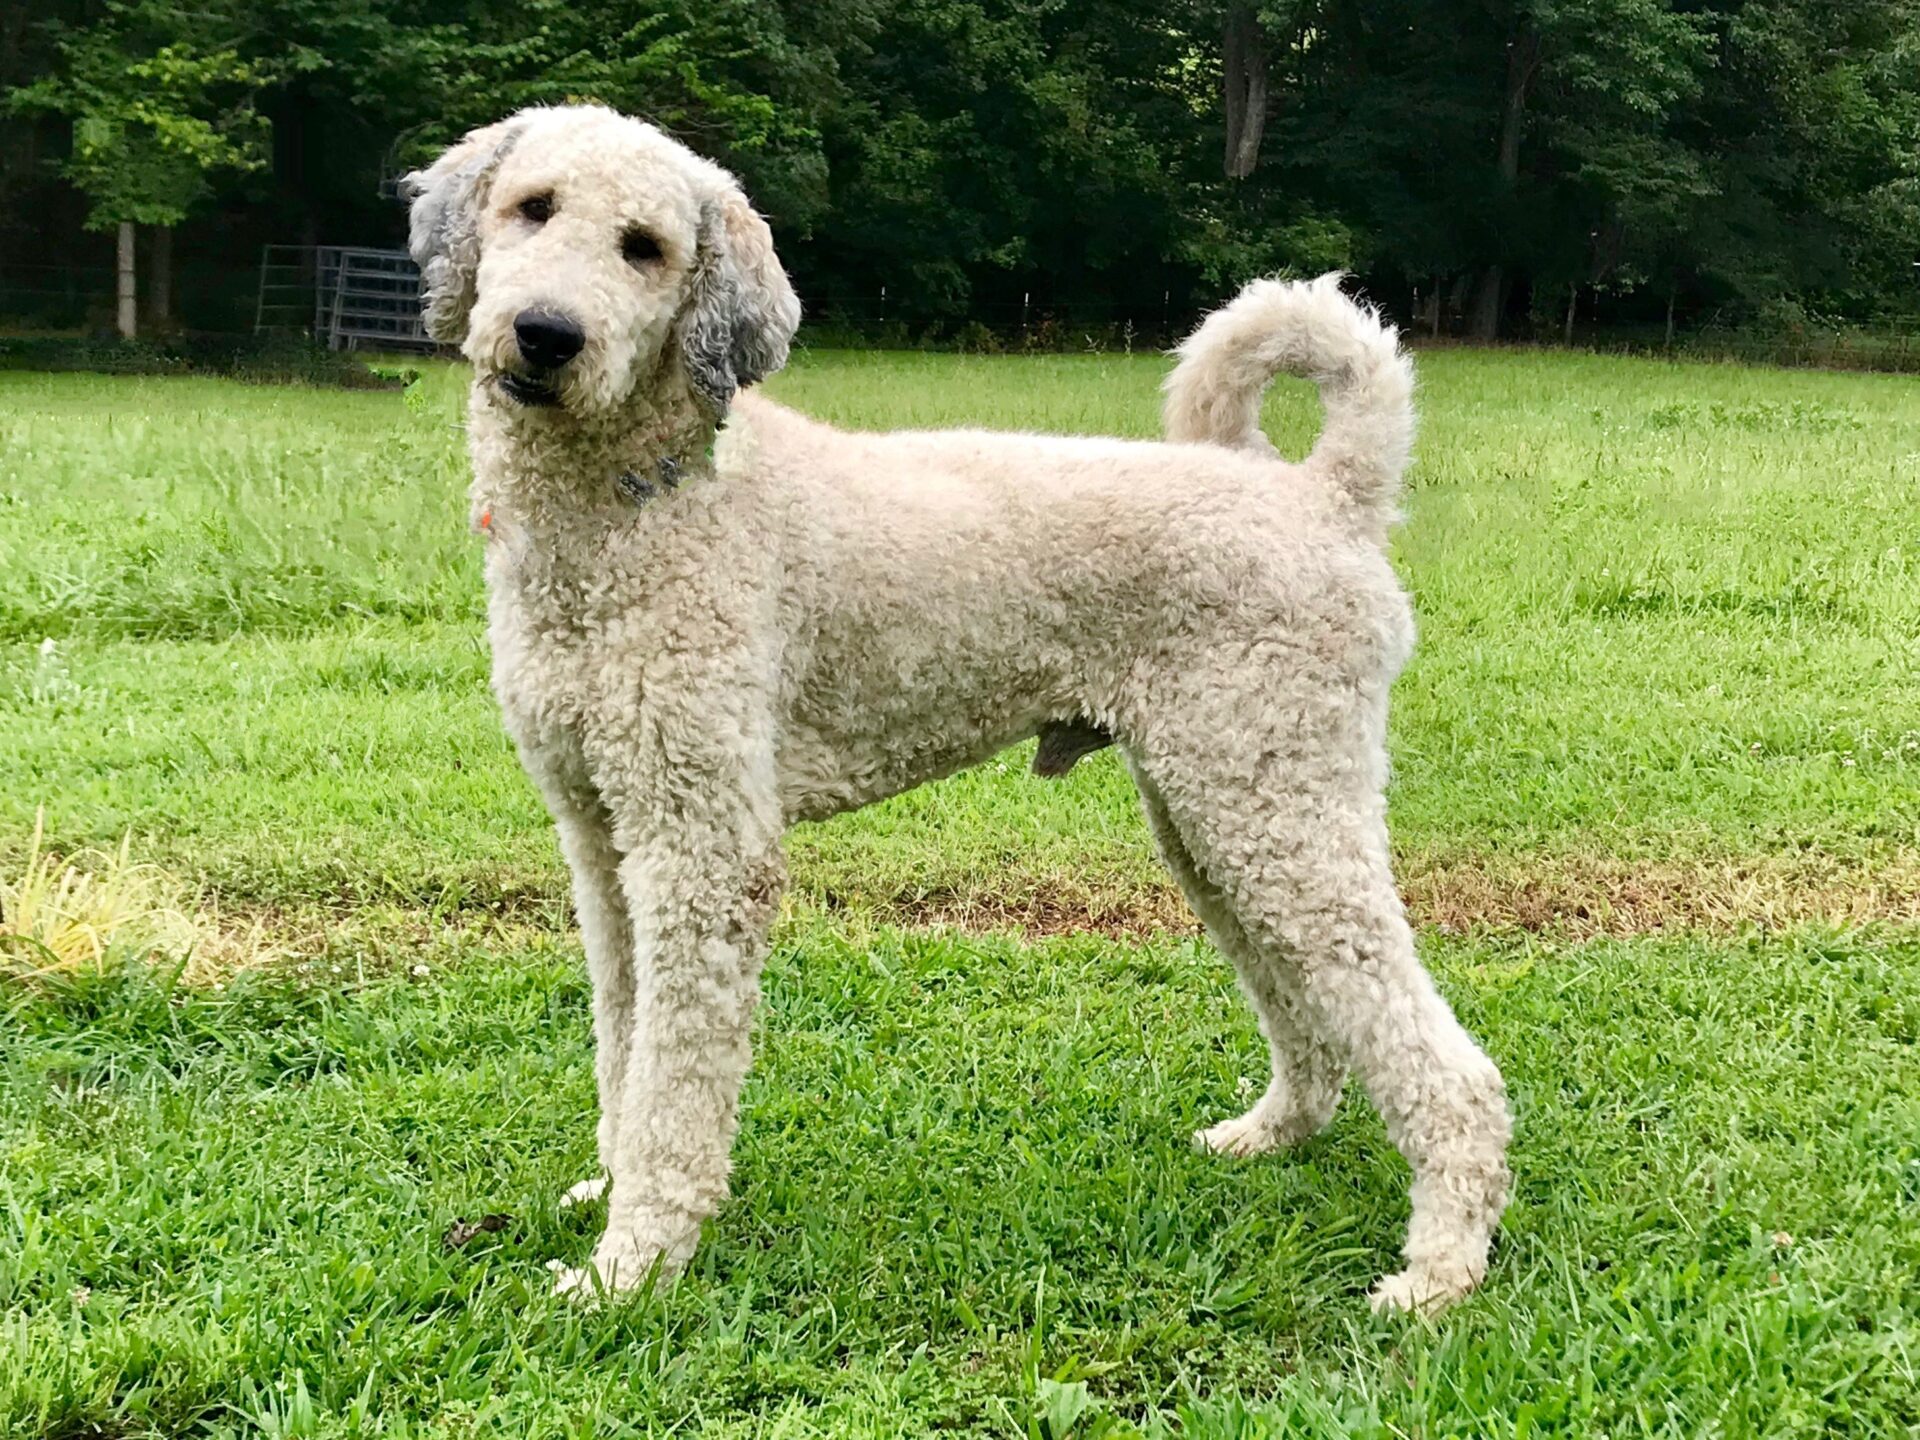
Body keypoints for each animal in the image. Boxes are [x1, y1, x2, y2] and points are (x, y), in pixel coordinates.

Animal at [404, 103, 1510, 1314]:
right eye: (533, 207)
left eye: (645, 247)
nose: (546, 335)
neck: (638, 508)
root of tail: (1327, 494)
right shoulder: (601, 839)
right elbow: (623, 1044)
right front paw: (609, 1194)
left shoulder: (701, 846)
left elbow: (675, 1079)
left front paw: (633, 1267)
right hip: (1218, 818)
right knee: (1307, 1008)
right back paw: (1272, 1135)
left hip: (1277, 807)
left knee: (1447, 1067)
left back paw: (1439, 1273)